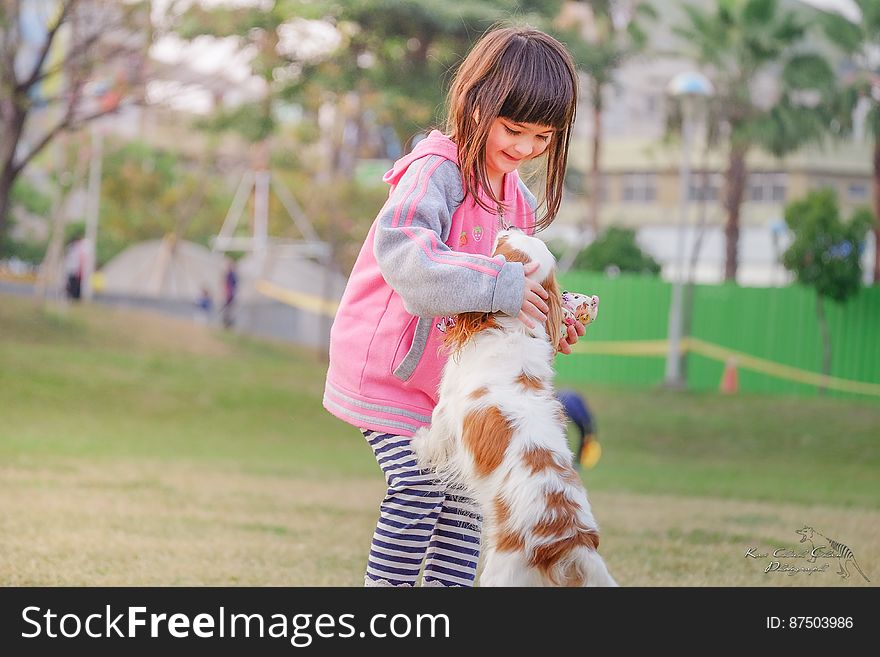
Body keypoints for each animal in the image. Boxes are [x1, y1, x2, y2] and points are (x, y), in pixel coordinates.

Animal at [410, 229, 612, 584]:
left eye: (503, 245)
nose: (510, 227)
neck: (513, 328)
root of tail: (572, 540)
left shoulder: (447, 407)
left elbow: (435, 436)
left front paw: (419, 443)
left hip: (502, 570)